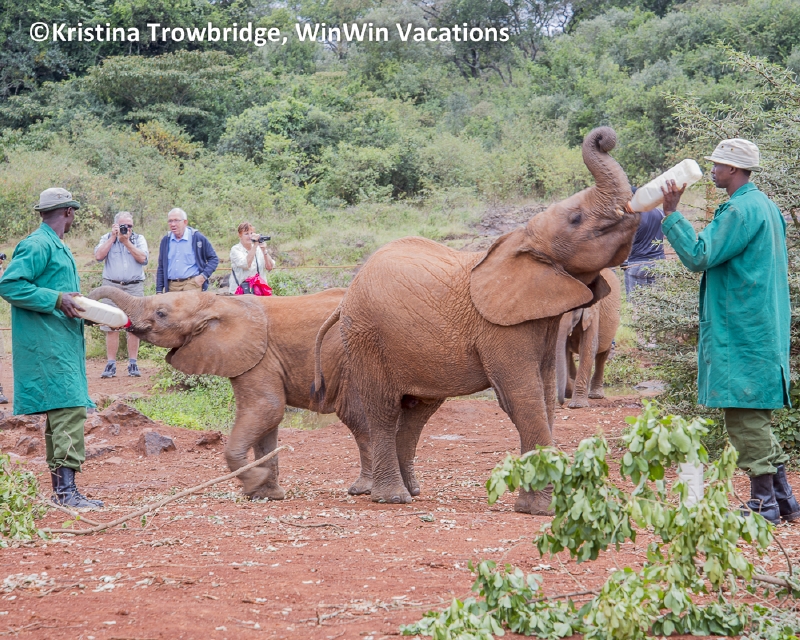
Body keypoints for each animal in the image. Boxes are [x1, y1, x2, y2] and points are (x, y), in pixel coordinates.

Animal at [88, 286, 373, 500]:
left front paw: (255, 482)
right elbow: (267, 423)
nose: (87, 303)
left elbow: (266, 409)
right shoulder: (257, 359)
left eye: (161, 313)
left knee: (358, 419)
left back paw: (361, 490)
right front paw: (266, 494)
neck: (219, 302)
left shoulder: (259, 356)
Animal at [556, 268, 621, 408]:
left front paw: (577, 405)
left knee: (602, 355)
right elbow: (564, 350)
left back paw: (595, 396)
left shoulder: (594, 309)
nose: (561, 403)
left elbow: (588, 347)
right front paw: (570, 391)